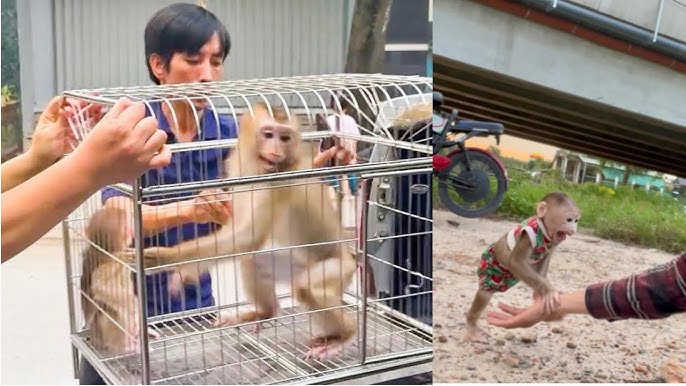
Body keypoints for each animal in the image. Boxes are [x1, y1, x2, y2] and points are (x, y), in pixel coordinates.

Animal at [133, 101, 360, 360]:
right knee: (251, 260)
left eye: (284, 137)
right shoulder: (239, 170)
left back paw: (344, 335)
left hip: (340, 270)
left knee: (306, 287)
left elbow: (246, 238)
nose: (276, 150)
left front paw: (163, 257)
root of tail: (351, 259)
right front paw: (185, 272)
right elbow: (237, 231)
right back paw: (265, 311)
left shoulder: (273, 185)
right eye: (268, 134)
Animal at [464, 191, 584, 342]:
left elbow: (543, 263)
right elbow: (516, 261)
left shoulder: (553, 244)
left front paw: (540, 295)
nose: (573, 229)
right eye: (569, 220)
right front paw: (548, 292)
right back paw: (471, 324)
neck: (544, 231)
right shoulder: (529, 234)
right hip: (490, 265)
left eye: (576, 221)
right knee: (485, 292)